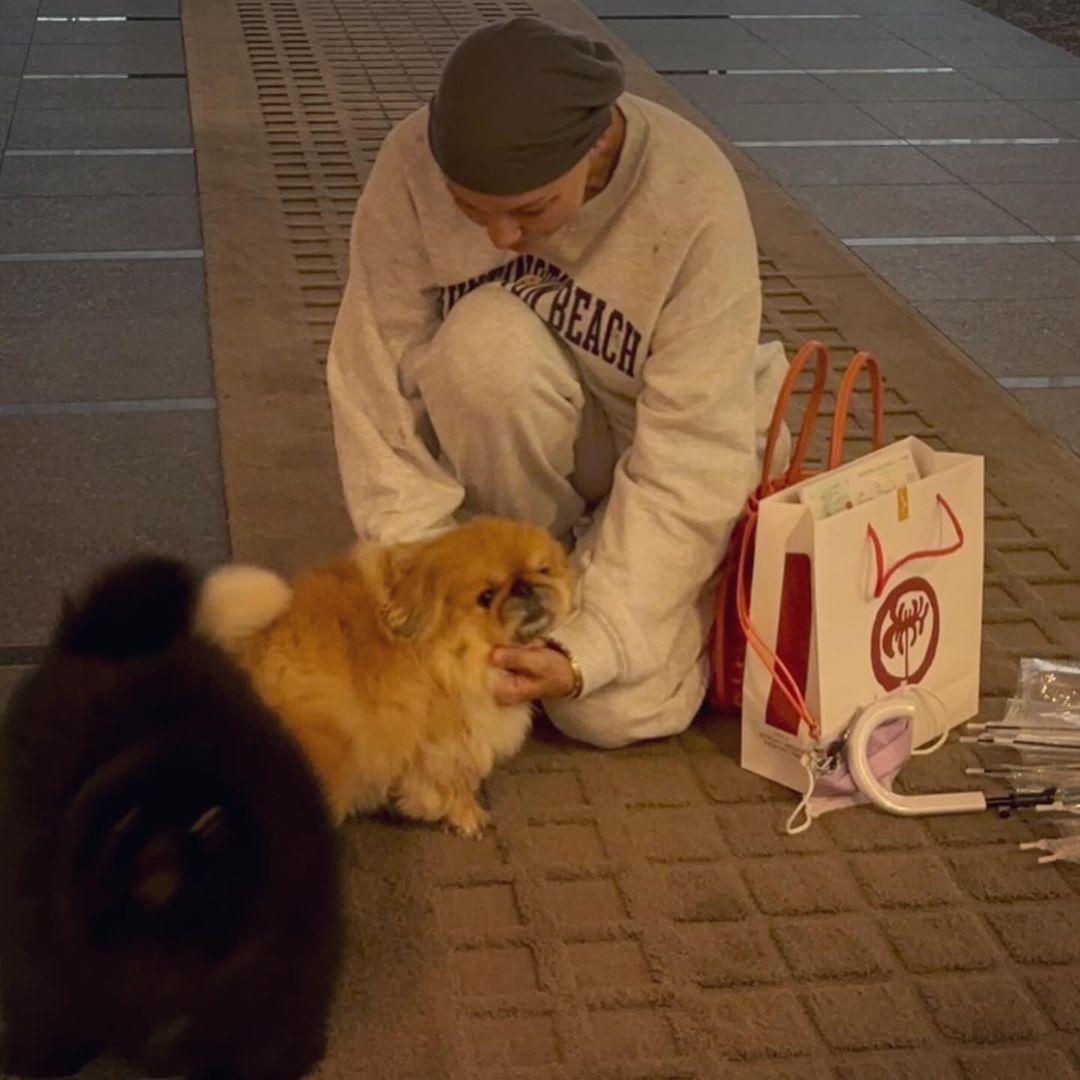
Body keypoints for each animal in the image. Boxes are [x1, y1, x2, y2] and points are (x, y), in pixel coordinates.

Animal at [194, 518, 574, 838]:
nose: (525, 587)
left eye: (543, 569)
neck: (449, 649)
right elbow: (450, 782)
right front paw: (466, 815)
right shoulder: (445, 739)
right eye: (486, 596)